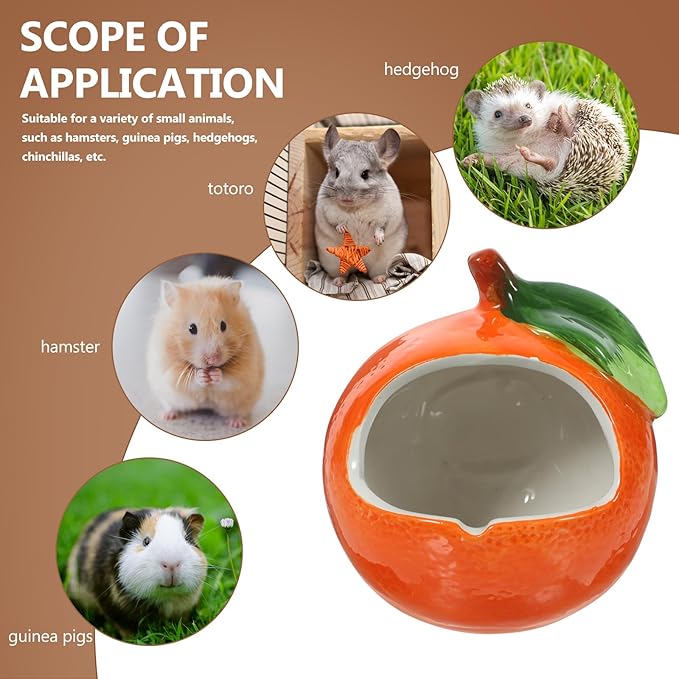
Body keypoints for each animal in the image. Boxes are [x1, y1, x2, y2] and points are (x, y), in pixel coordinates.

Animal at [66, 507, 208, 638]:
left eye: (187, 539)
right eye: (146, 541)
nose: (172, 564)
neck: (165, 598)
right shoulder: (118, 613)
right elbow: (126, 629)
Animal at [146, 276, 264, 428]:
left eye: (223, 325)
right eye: (192, 328)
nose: (212, 359)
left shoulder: (244, 370)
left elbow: (230, 379)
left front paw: (215, 374)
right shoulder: (170, 370)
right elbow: (187, 380)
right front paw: (202, 375)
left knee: (239, 412)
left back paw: (237, 423)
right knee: (171, 406)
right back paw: (167, 415)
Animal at [315, 125, 408, 286]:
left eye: (365, 174)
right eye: (336, 172)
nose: (346, 198)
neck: (354, 209)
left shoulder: (388, 214)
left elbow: (380, 226)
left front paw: (379, 239)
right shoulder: (327, 212)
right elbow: (335, 223)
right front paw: (342, 228)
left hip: (384, 261)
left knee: (376, 273)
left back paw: (379, 279)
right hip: (332, 262)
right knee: (342, 274)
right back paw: (338, 282)